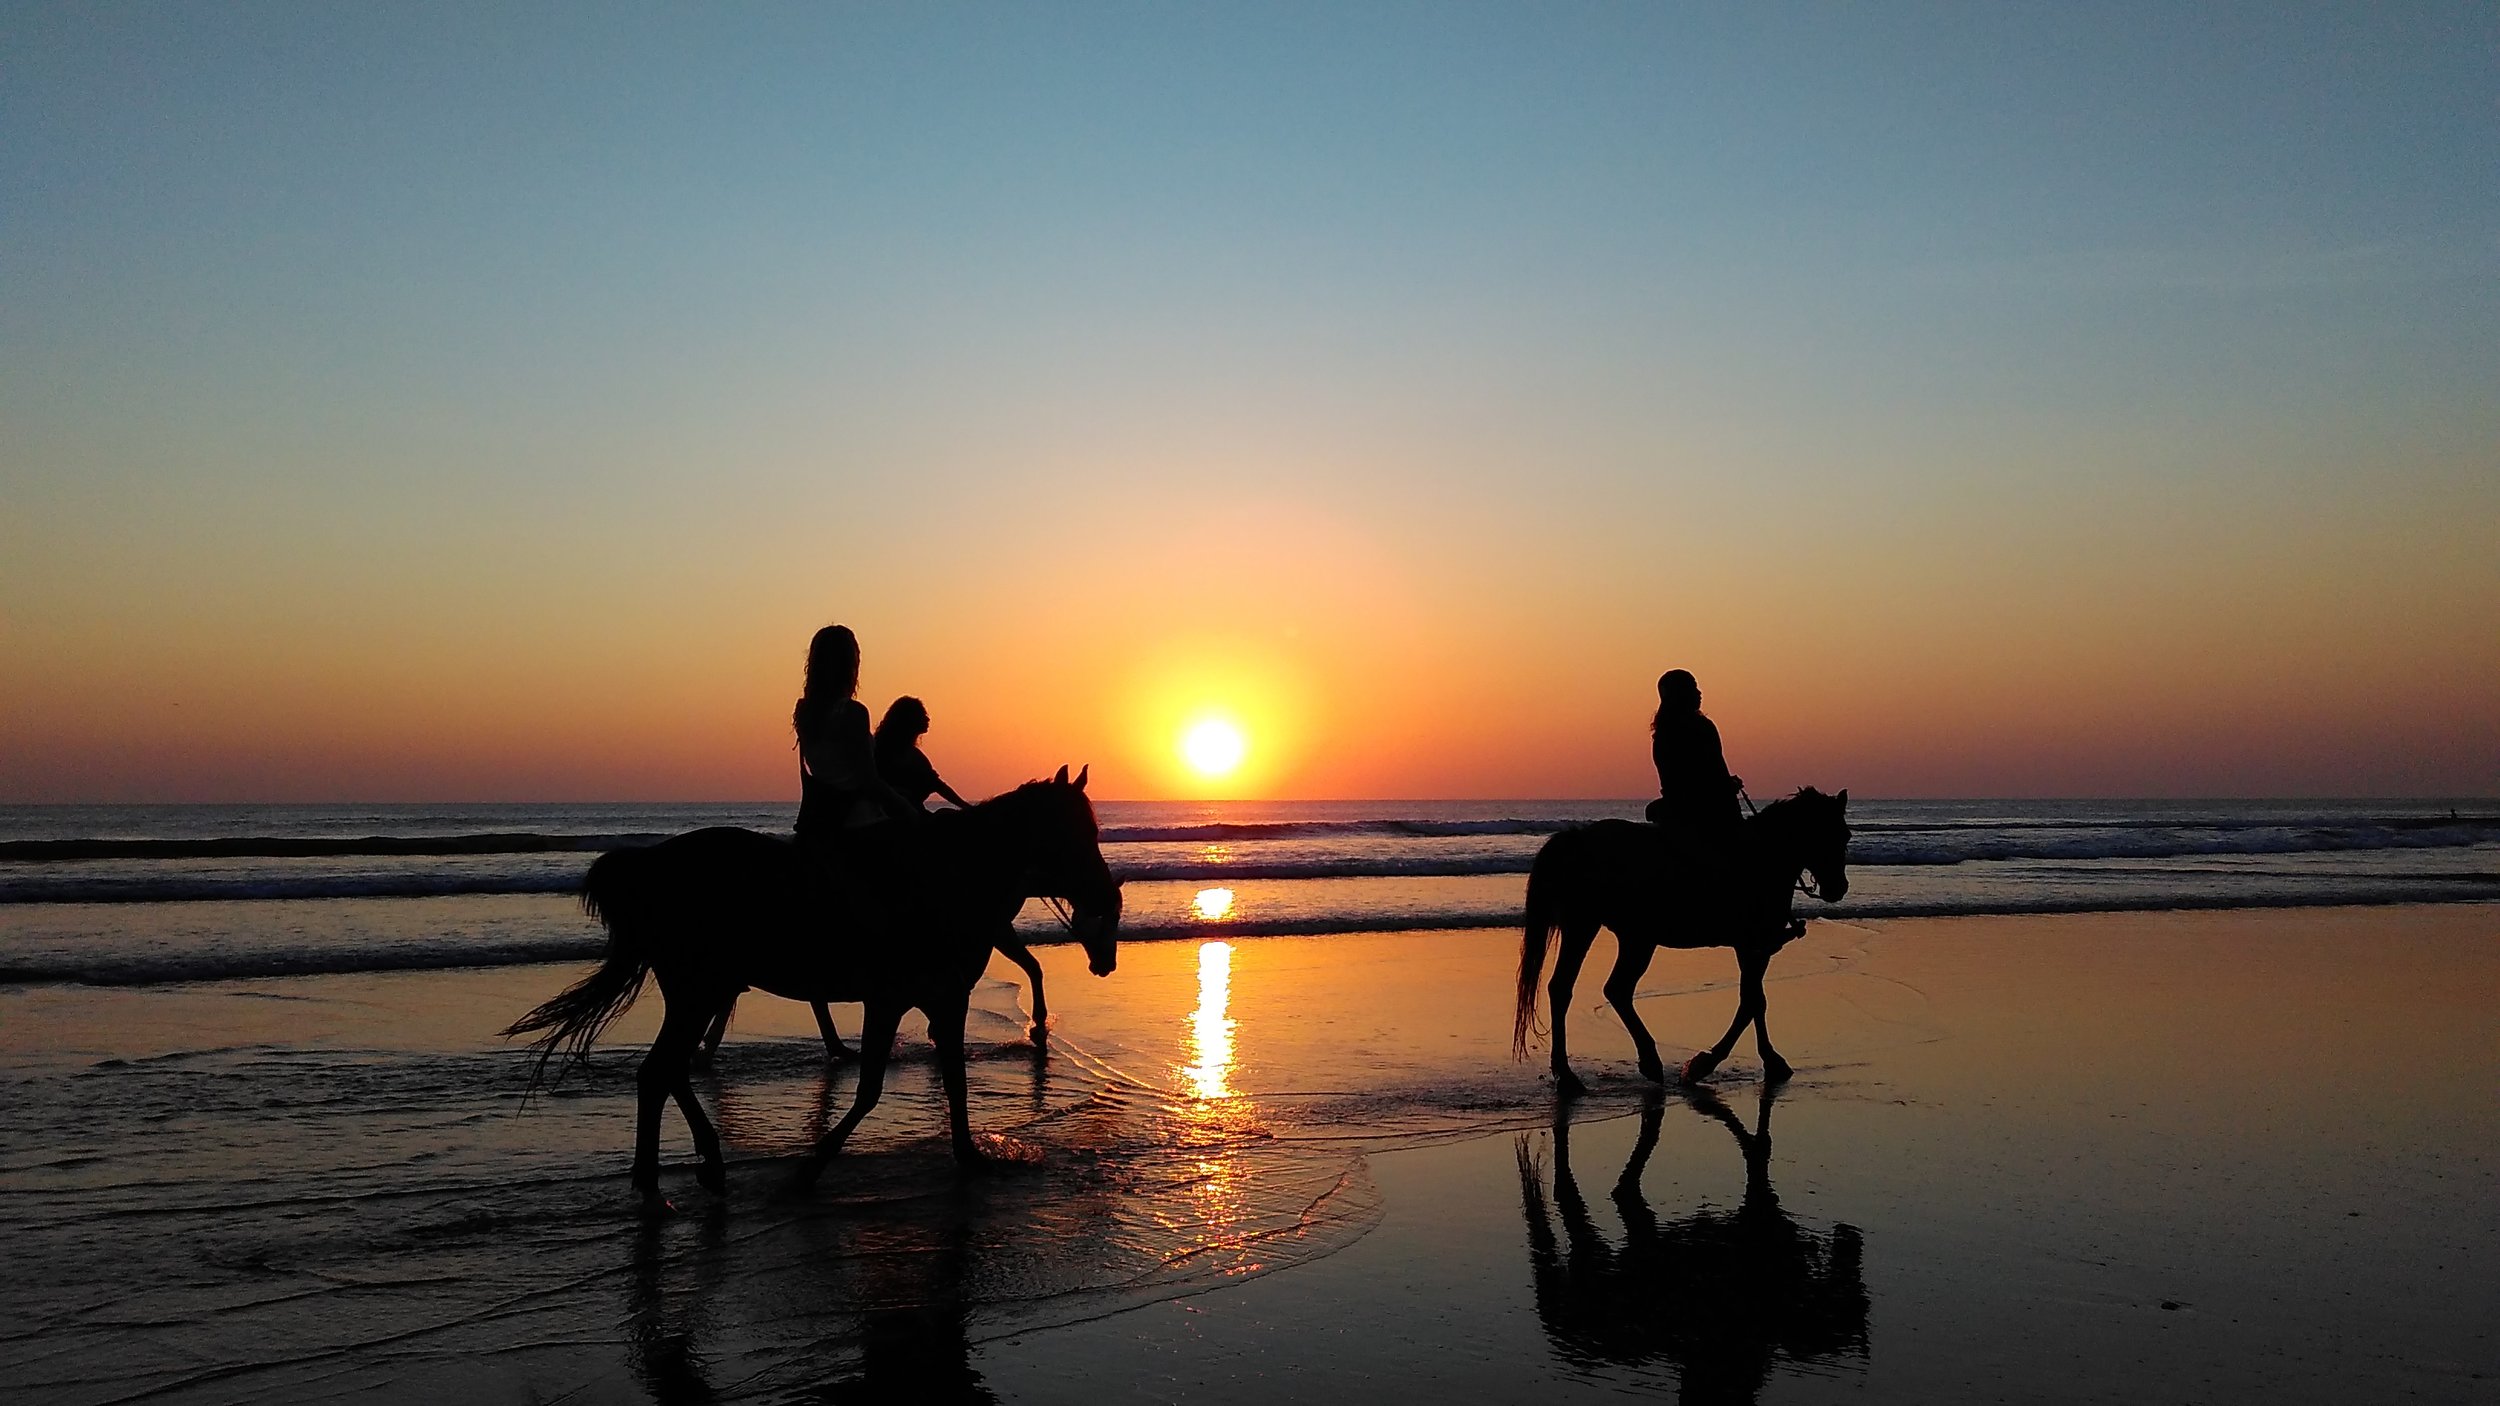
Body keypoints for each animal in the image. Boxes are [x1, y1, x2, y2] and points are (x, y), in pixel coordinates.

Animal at [505, 767, 1121, 1211]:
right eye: (1077, 832)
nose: (1106, 896)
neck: (945, 878)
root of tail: (649, 866)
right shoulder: (893, 999)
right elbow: (873, 1089)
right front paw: (812, 1167)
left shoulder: (942, 1001)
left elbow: (954, 1081)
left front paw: (968, 1157)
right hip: (699, 990)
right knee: (661, 1071)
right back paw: (662, 1187)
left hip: (698, 991)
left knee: (667, 1070)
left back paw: (696, 1166)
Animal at [1513, 788, 1850, 1095]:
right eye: (1835, 835)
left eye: (1844, 836)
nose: (1839, 888)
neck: (1762, 857)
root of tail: (1577, 839)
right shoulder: (1753, 946)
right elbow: (1753, 1002)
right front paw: (1708, 1063)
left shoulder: (1752, 948)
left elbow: (1753, 1001)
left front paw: (1763, 1060)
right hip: (1596, 928)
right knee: (1581, 988)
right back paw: (1580, 1072)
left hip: (1625, 936)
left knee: (1600, 989)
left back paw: (1626, 1064)